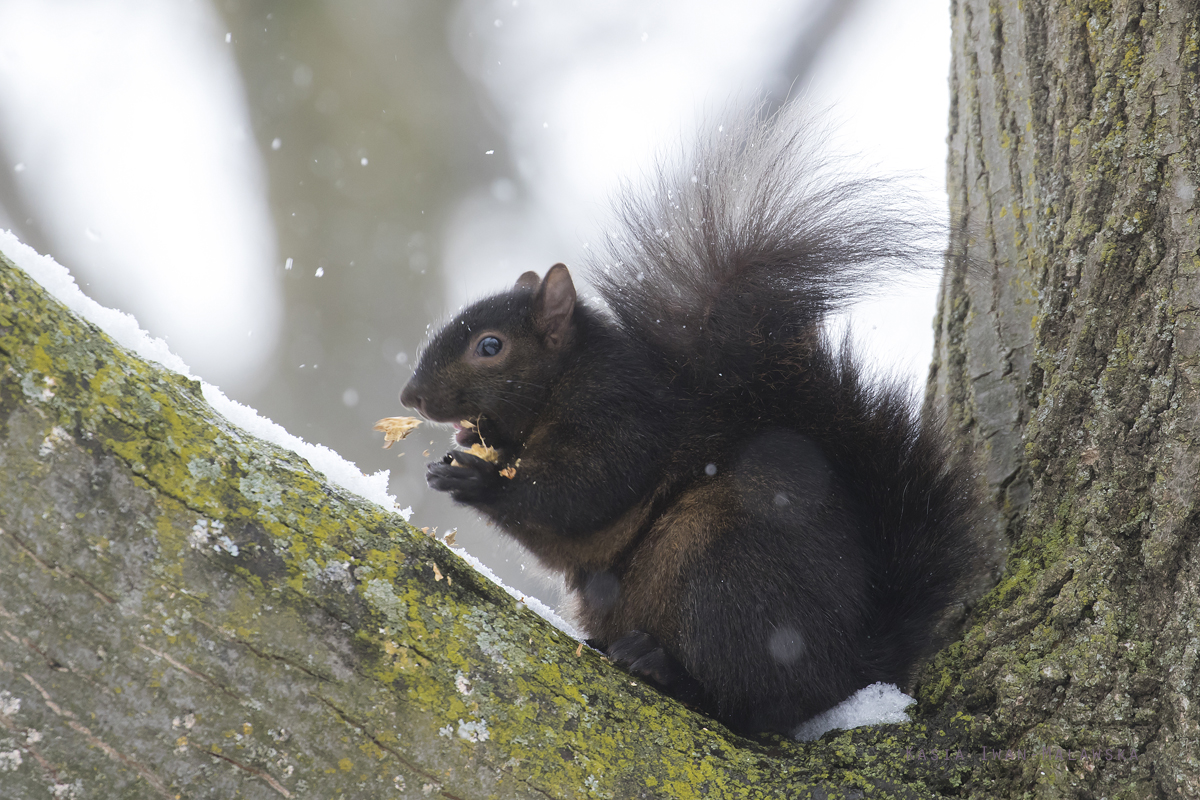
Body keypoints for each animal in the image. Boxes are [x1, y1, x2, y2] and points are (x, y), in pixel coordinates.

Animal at [398, 109, 979, 734]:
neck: (564, 383)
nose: (411, 397)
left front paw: (474, 479)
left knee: (750, 702)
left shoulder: (621, 422)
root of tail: (849, 667)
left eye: (490, 346)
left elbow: (577, 498)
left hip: (723, 575)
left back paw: (665, 669)